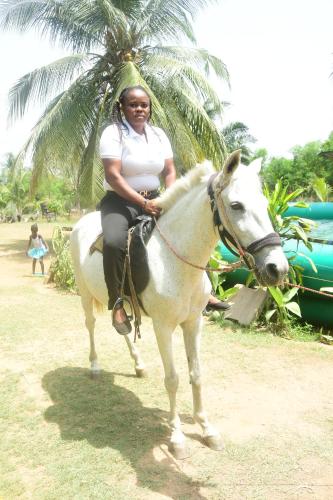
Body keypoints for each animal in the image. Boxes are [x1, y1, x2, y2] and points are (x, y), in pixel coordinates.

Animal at [70, 149, 288, 458]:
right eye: (236, 205)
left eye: (266, 204)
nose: (277, 268)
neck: (175, 259)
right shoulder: (164, 327)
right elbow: (172, 379)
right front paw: (176, 438)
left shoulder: (193, 323)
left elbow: (196, 374)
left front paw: (207, 429)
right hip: (84, 293)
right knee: (90, 325)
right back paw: (95, 366)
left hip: (119, 303)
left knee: (122, 326)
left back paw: (138, 364)